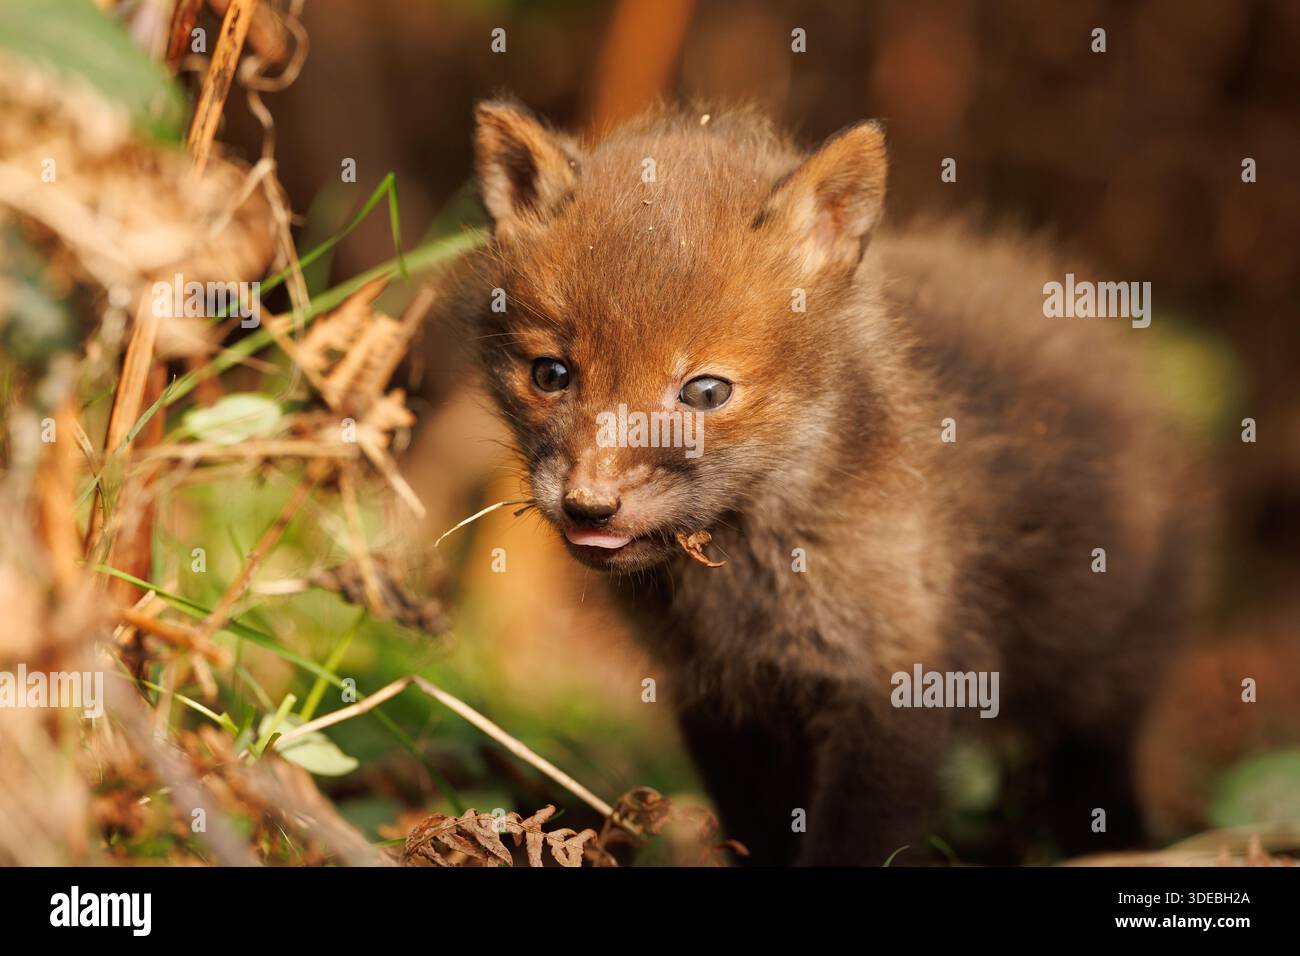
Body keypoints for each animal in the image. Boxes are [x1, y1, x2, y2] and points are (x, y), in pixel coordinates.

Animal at [453, 99, 1200, 865]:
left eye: (705, 391)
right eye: (551, 374)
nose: (589, 505)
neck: (746, 583)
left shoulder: (898, 673)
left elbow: (856, 835)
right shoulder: (719, 696)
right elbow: (761, 825)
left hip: (1106, 670)